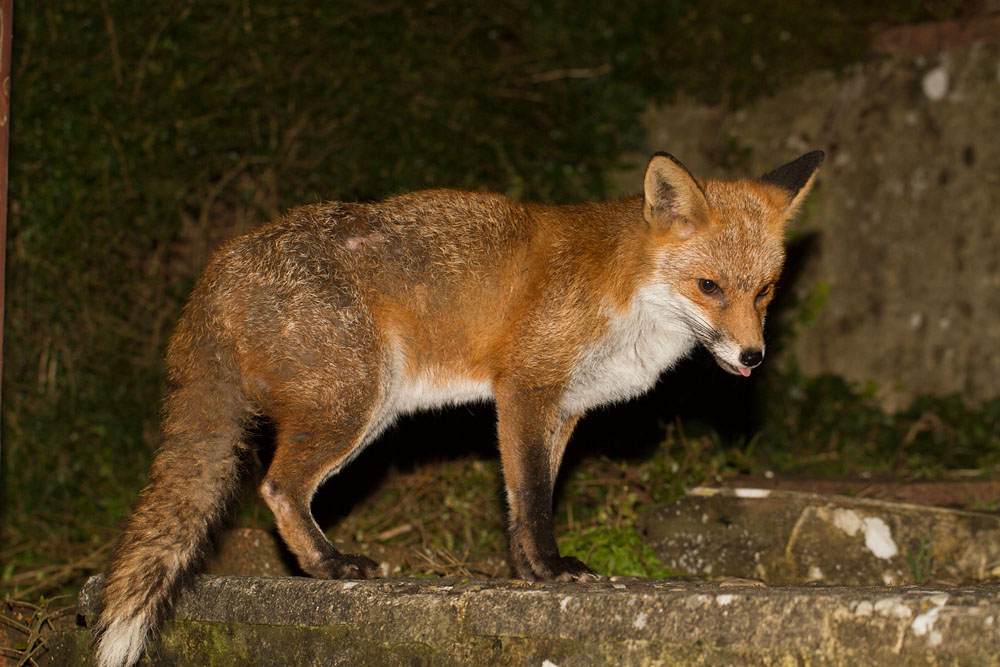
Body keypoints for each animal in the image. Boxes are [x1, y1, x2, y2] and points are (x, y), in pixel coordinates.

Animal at [93, 150, 823, 666]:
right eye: (709, 286)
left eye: (765, 290)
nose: (753, 357)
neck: (629, 295)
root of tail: (219, 268)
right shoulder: (524, 388)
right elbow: (533, 497)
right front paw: (552, 571)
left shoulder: (564, 409)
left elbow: (525, 500)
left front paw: (527, 574)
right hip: (354, 404)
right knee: (278, 487)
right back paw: (329, 566)